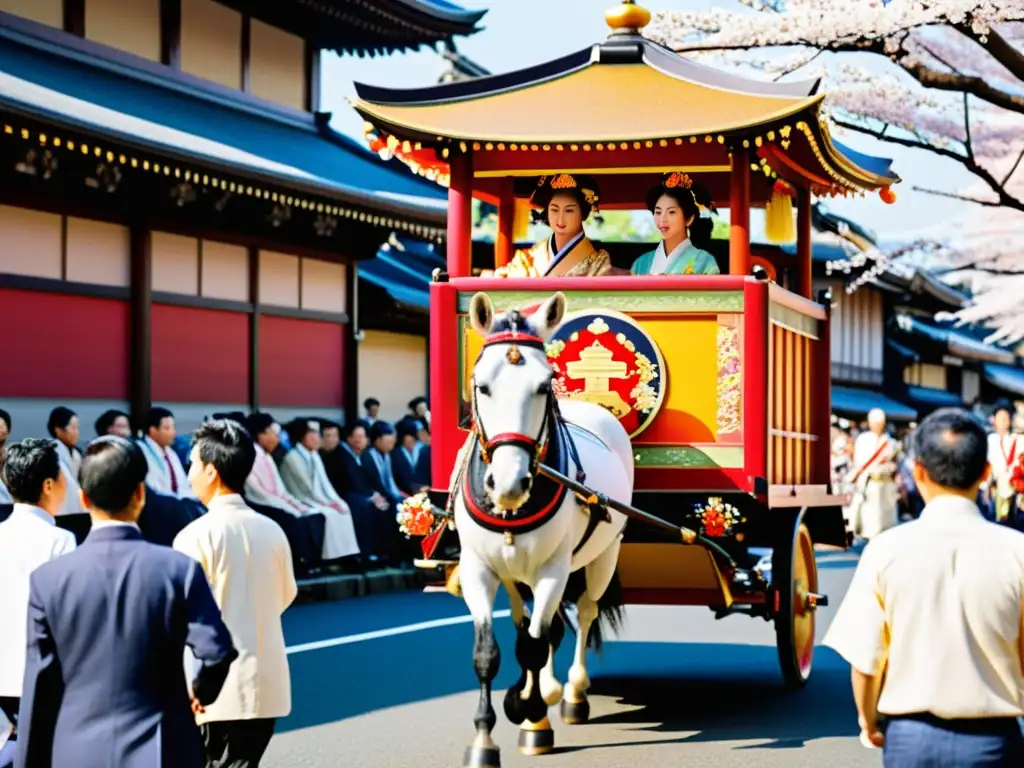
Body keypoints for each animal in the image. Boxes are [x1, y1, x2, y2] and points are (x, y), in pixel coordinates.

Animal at [454, 290, 630, 765]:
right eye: (481, 385)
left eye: (543, 385)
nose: (509, 484)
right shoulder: (478, 567)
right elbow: (489, 653)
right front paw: (484, 736)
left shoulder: (554, 567)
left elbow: (535, 643)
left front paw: (531, 713)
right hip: (518, 571)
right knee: (533, 623)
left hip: (603, 555)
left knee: (582, 613)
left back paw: (569, 693)